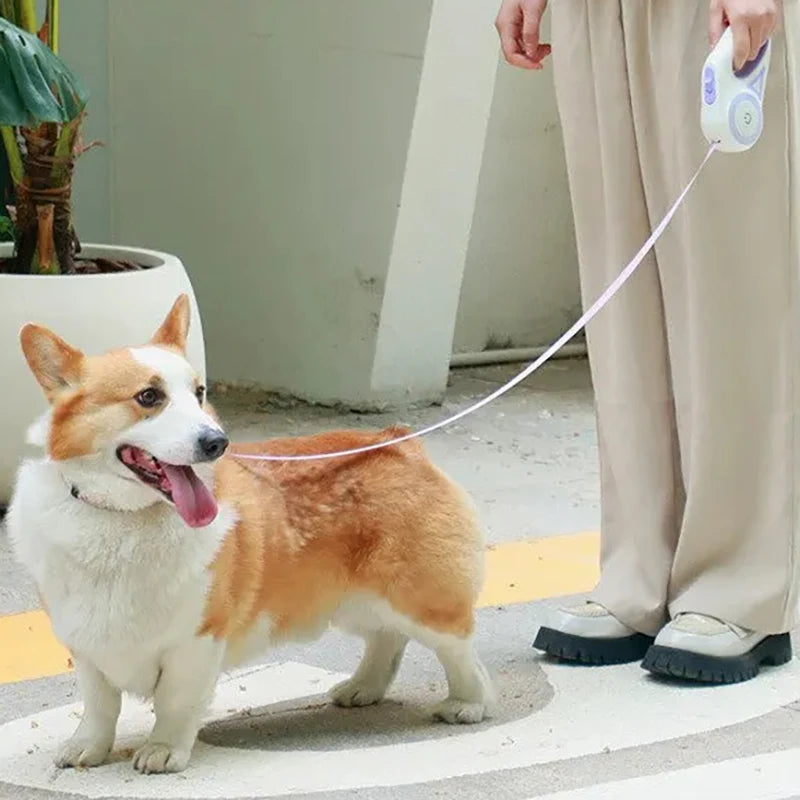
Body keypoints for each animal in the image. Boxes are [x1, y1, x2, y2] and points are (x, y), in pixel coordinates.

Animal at [7, 296, 494, 776]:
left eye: (199, 393)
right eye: (149, 396)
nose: (216, 442)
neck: (126, 518)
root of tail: (400, 442)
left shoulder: (197, 640)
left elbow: (175, 703)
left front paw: (163, 750)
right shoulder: (87, 644)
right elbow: (99, 706)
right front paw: (87, 748)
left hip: (418, 600)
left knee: (459, 650)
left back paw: (468, 704)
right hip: (351, 600)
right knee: (386, 638)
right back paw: (363, 688)